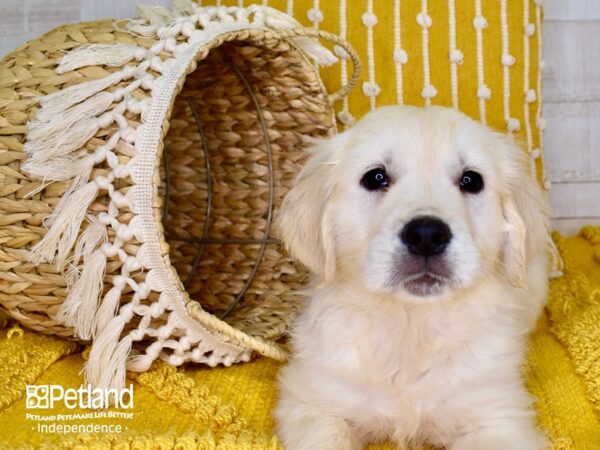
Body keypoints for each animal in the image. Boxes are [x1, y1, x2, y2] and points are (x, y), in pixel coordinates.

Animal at [276, 106, 548, 450]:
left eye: (471, 180)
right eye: (376, 177)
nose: (427, 235)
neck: (411, 324)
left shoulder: (495, 415)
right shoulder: (315, 400)